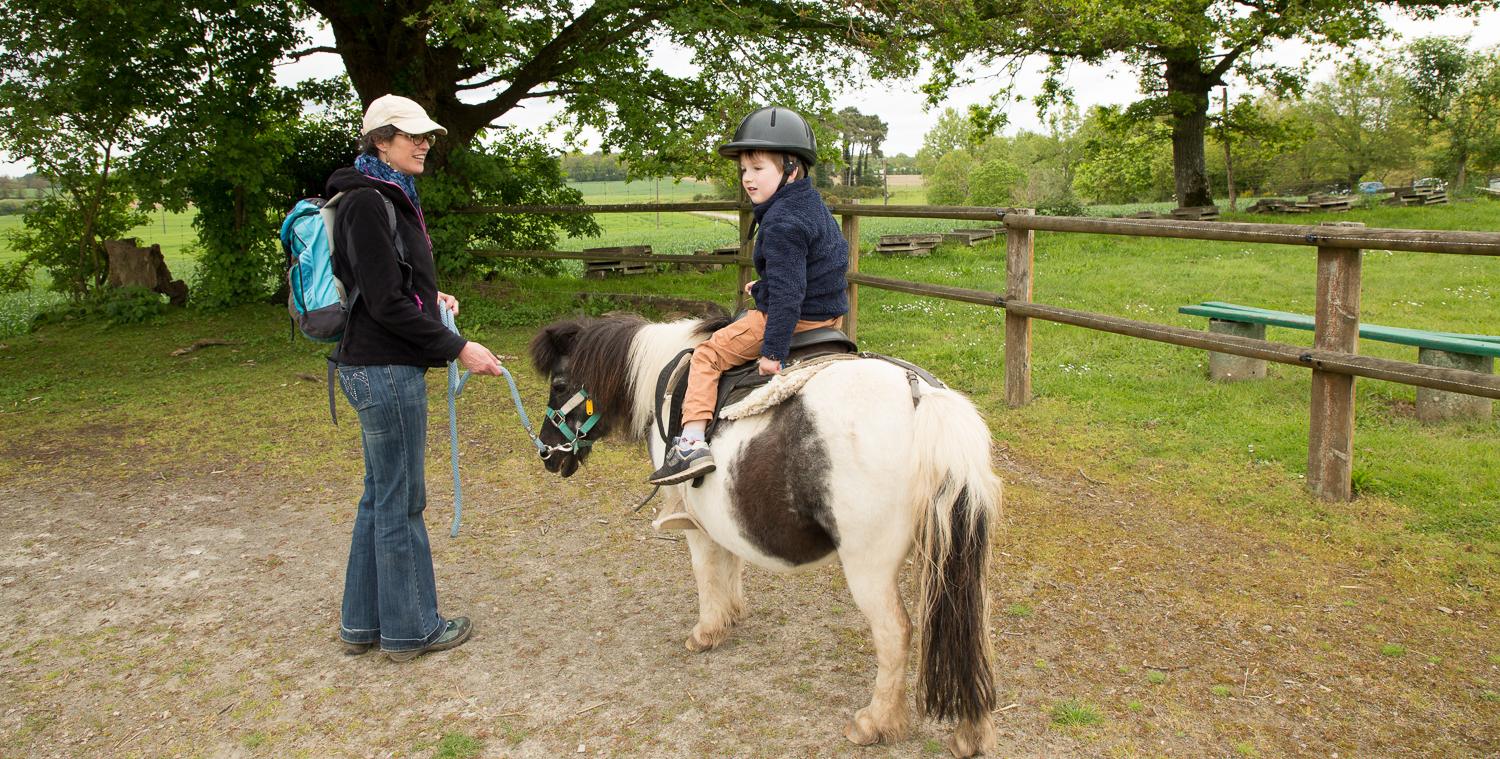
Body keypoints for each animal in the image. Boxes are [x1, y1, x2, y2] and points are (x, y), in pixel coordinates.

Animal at [528, 313, 1008, 753]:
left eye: (559, 385)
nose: (548, 454)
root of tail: (922, 396)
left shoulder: (696, 524)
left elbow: (705, 572)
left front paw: (707, 630)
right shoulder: (723, 514)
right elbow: (730, 560)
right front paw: (732, 613)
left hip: (869, 568)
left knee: (895, 634)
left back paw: (875, 723)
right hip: (959, 564)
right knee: (970, 633)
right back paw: (972, 733)